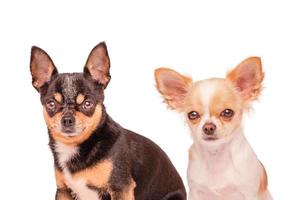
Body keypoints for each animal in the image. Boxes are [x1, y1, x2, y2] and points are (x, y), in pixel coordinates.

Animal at [29, 41, 185, 199]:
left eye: (87, 104)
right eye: (51, 104)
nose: (67, 119)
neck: (76, 146)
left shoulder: (121, 188)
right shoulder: (63, 191)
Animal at [155, 57, 272, 199]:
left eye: (227, 112)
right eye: (193, 114)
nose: (208, 127)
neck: (216, 157)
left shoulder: (248, 192)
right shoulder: (195, 191)